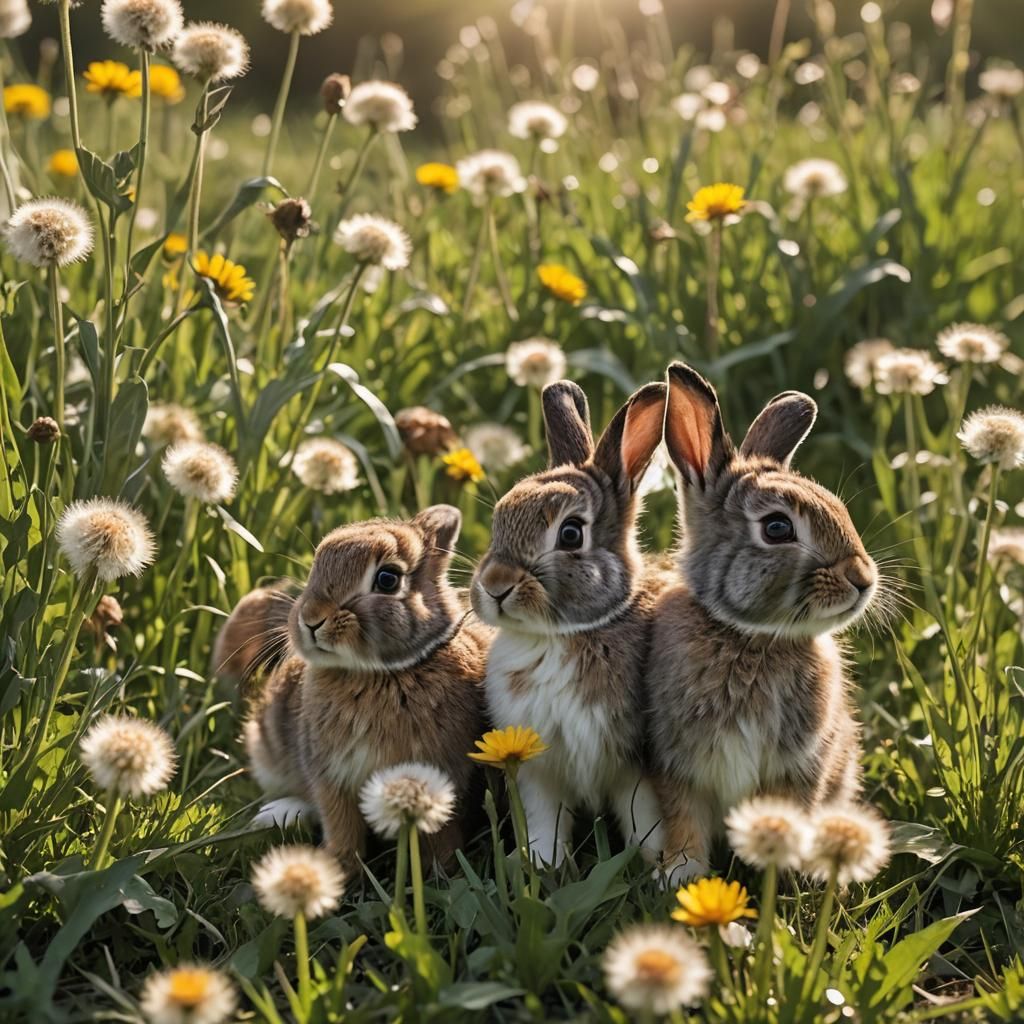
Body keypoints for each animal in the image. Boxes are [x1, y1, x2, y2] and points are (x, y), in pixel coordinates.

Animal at [217, 506, 490, 870]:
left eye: (388, 579)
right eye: (316, 566)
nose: (310, 619)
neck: (377, 675)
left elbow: (438, 835)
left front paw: (440, 872)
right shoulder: (332, 777)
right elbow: (342, 826)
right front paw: (339, 869)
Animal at [470, 379, 673, 867]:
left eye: (570, 534)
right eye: (498, 519)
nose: (495, 585)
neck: (560, 637)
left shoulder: (636, 768)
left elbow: (645, 819)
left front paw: (661, 867)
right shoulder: (539, 767)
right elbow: (545, 820)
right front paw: (542, 864)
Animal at [648, 362, 879, 882]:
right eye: (777, 528)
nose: (863, 579)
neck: (749, 638)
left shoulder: (801, 766)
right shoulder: (676, 766)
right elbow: (682, 816)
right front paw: (682, 872)